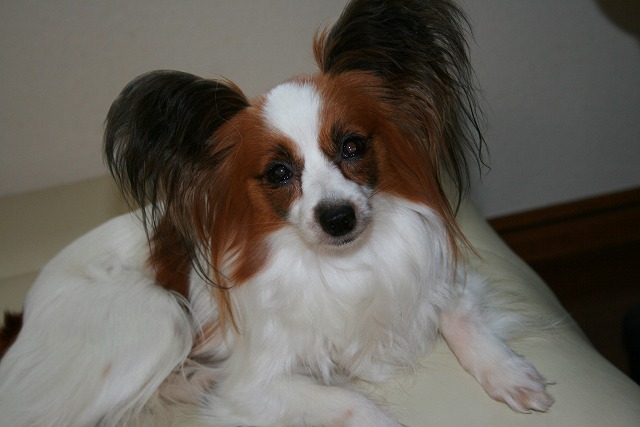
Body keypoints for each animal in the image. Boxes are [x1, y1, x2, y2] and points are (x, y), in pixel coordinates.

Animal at [0, 0, 553, 425]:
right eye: (279, 173)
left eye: (353, 146)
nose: (338, 218)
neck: (343, 264)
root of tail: (23, 315)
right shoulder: (255, 384)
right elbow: (351, 403)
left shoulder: (443, 279)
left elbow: (463, 318)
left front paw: (509, 372)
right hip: (161, 316)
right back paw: (192, 381)